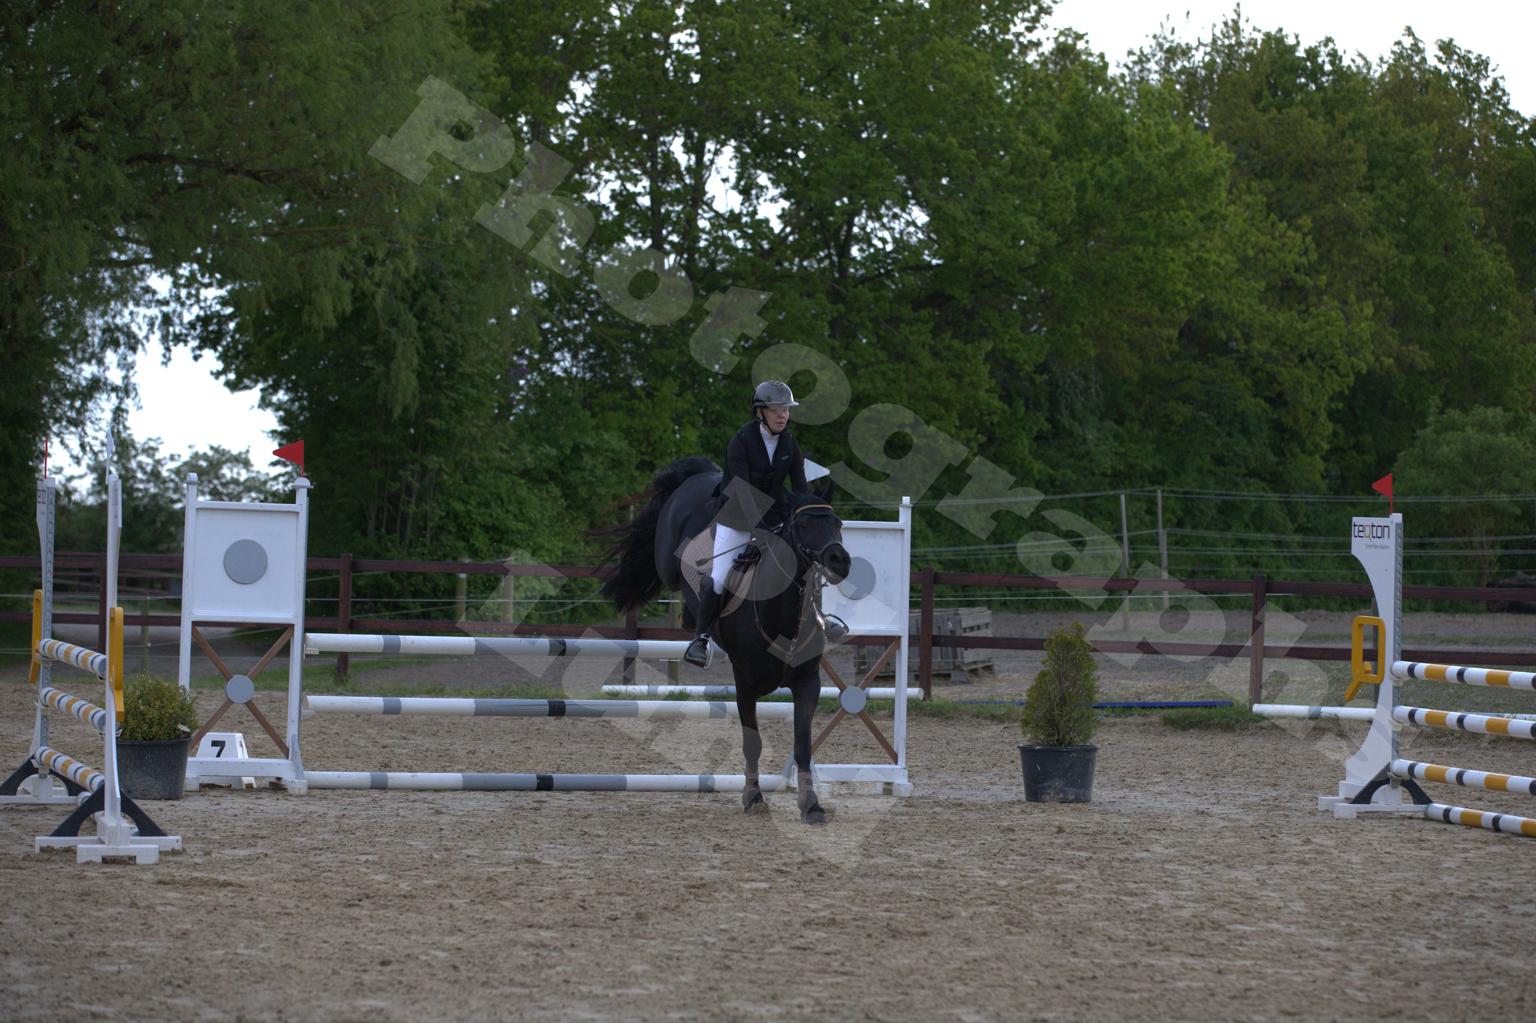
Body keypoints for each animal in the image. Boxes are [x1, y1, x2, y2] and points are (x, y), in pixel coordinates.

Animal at [598, 456, 851, 824]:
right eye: (803, 523)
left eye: (837, 522)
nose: (840, 561)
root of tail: (700, 473)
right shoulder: (744, 683)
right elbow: (752, 742)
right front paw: (753, 797)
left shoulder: (808, 681)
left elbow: (803, 744)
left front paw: (811, 805)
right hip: (669, 561)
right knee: (689, 581)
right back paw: (695, 629)